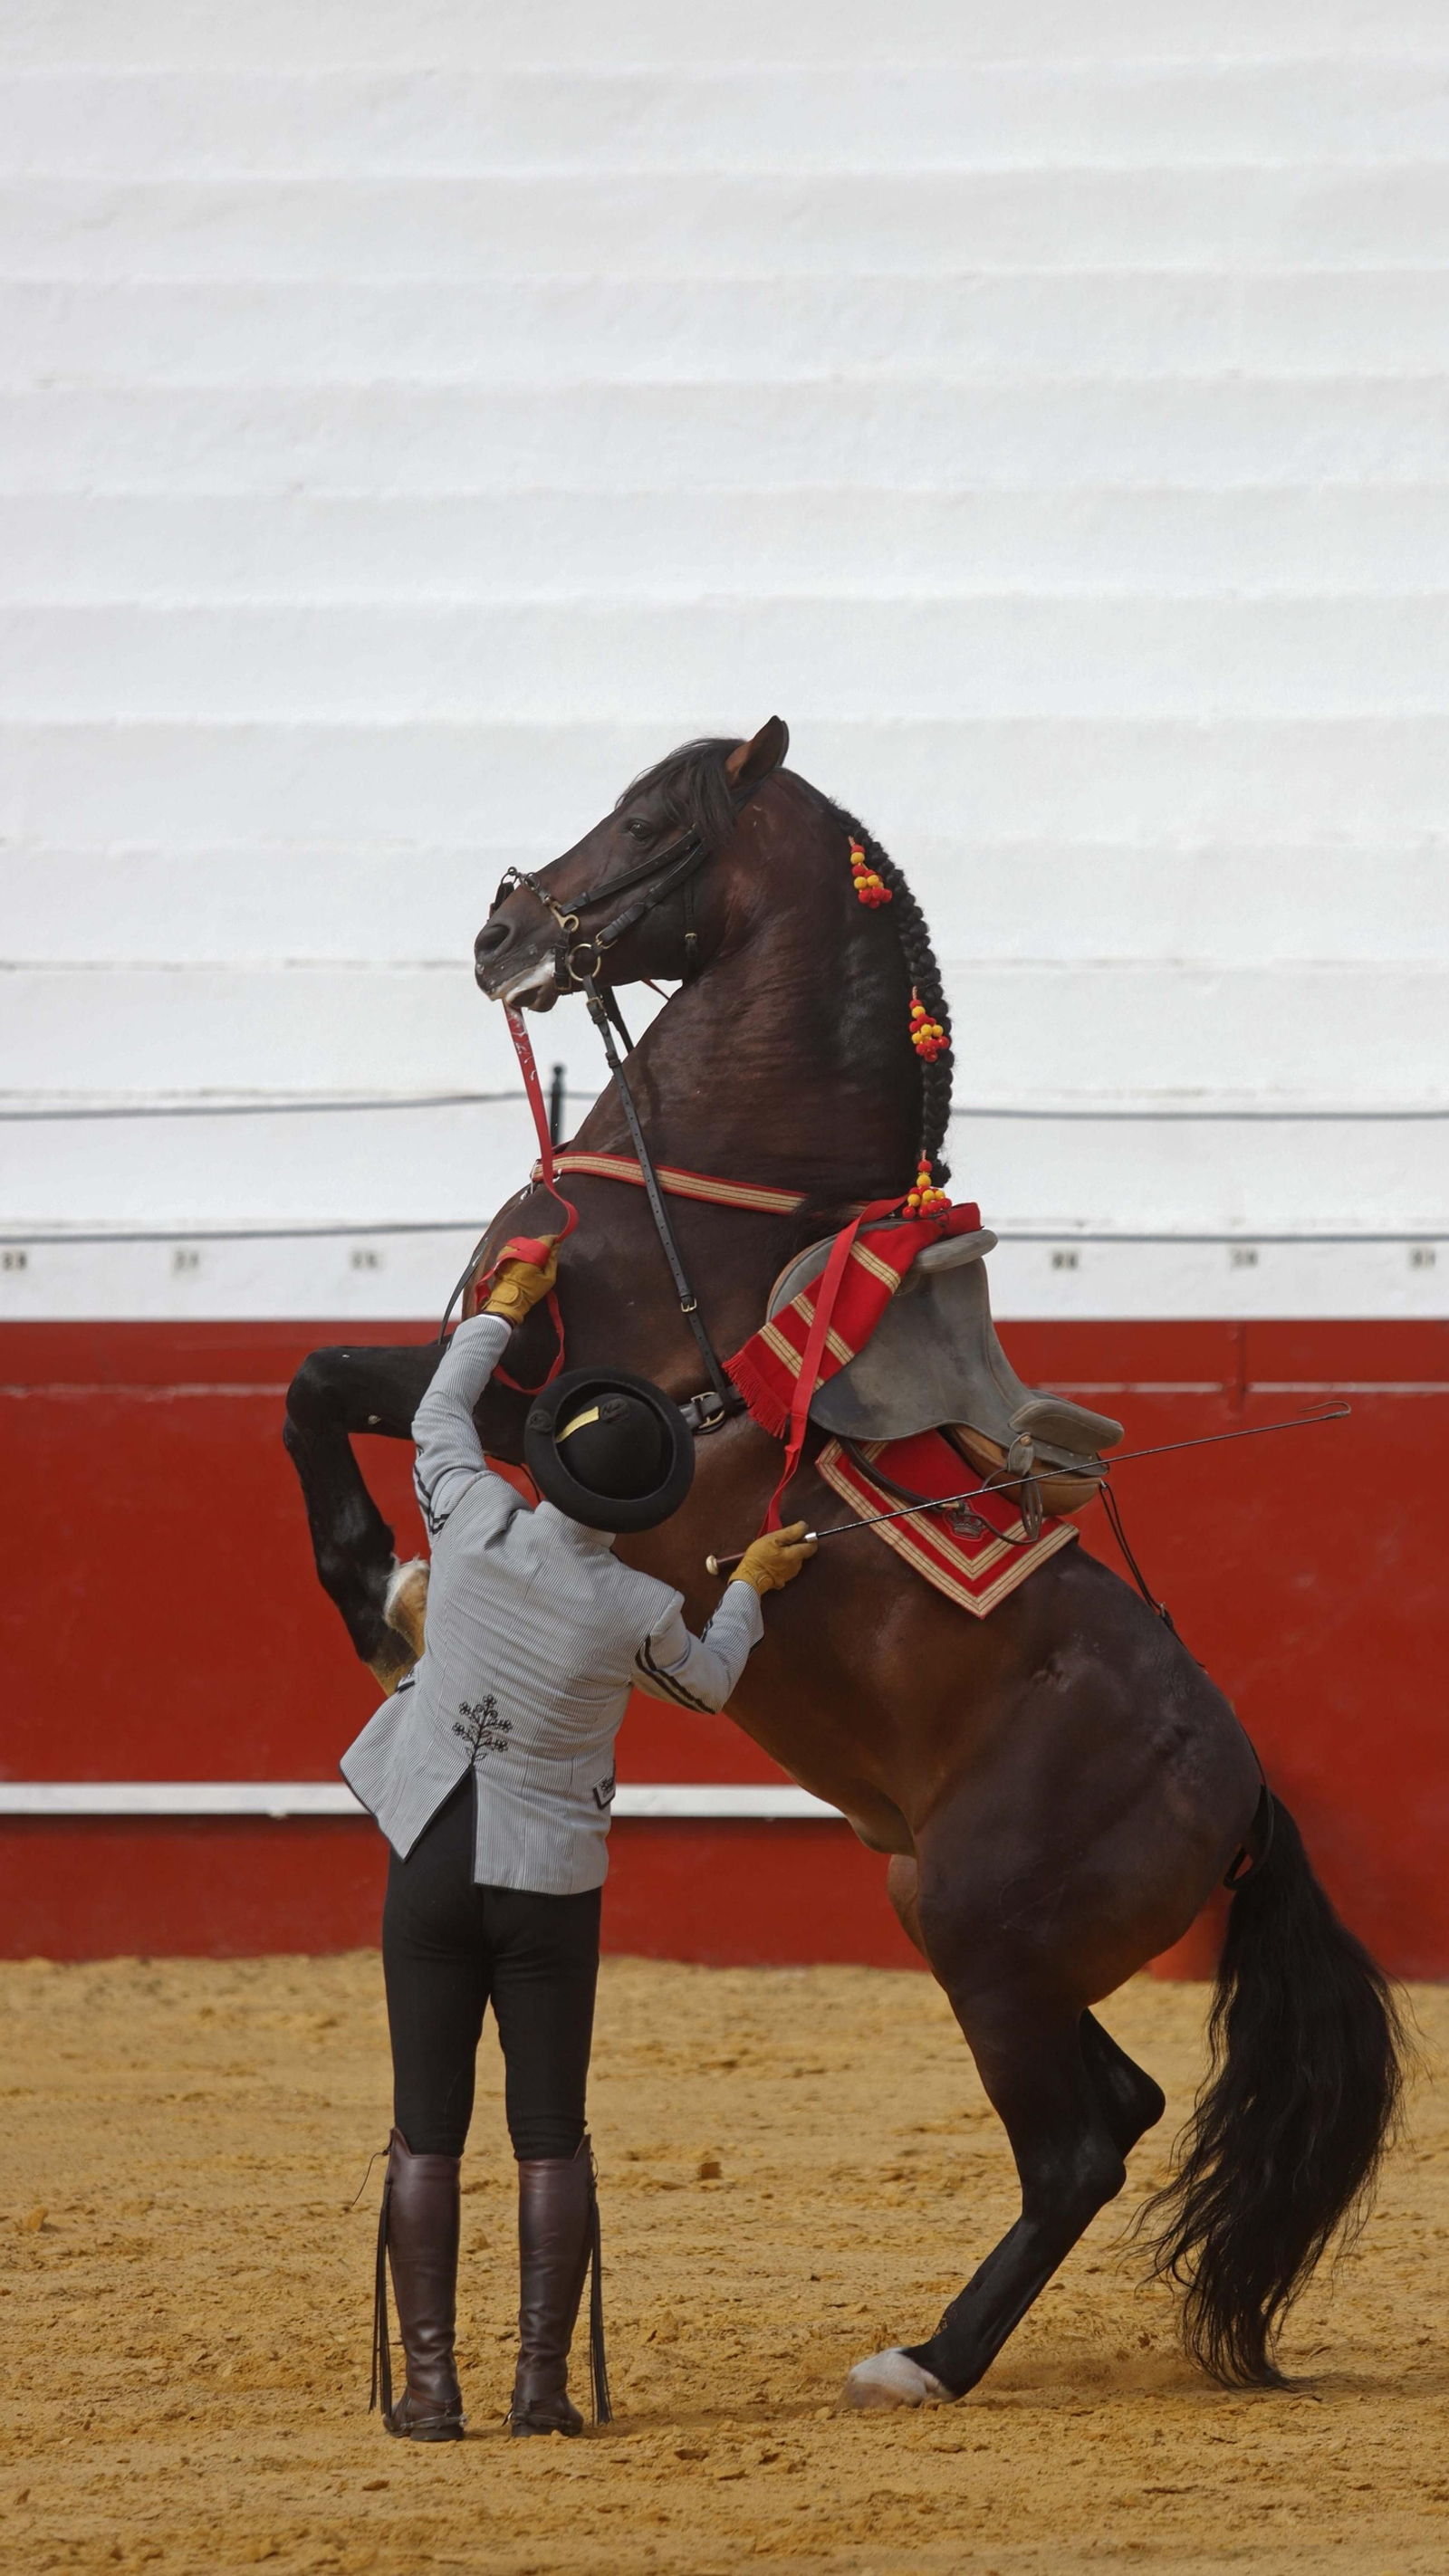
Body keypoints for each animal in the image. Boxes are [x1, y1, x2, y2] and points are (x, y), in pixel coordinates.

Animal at [284, 719, 1404, 2406]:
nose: (503, 932)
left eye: (647, 819)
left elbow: (316, 1386)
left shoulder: (524, 1401)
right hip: (952, 1919)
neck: (714, 1202)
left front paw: (385, 1600)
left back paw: (924, 2361)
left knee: (1078, 2147)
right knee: (1123, 2110)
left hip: (978, 1930)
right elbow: (316, 1385)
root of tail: (1248, 1790)